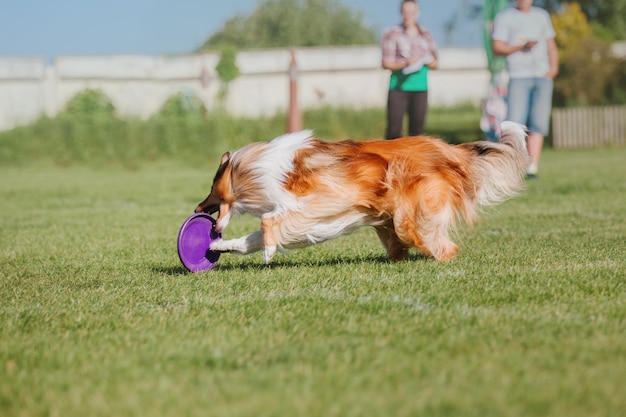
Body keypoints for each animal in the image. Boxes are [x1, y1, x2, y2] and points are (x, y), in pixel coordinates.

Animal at [195, 121, 528, 264]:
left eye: (212, 189)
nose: (197, 209)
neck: (256, 169)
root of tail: (450, 151)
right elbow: (250, 238)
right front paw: (219, 246)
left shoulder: (315, 204)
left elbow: (268, 224)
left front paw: (268, 252)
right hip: (391, 223)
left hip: (409, 220)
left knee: (446, 247)